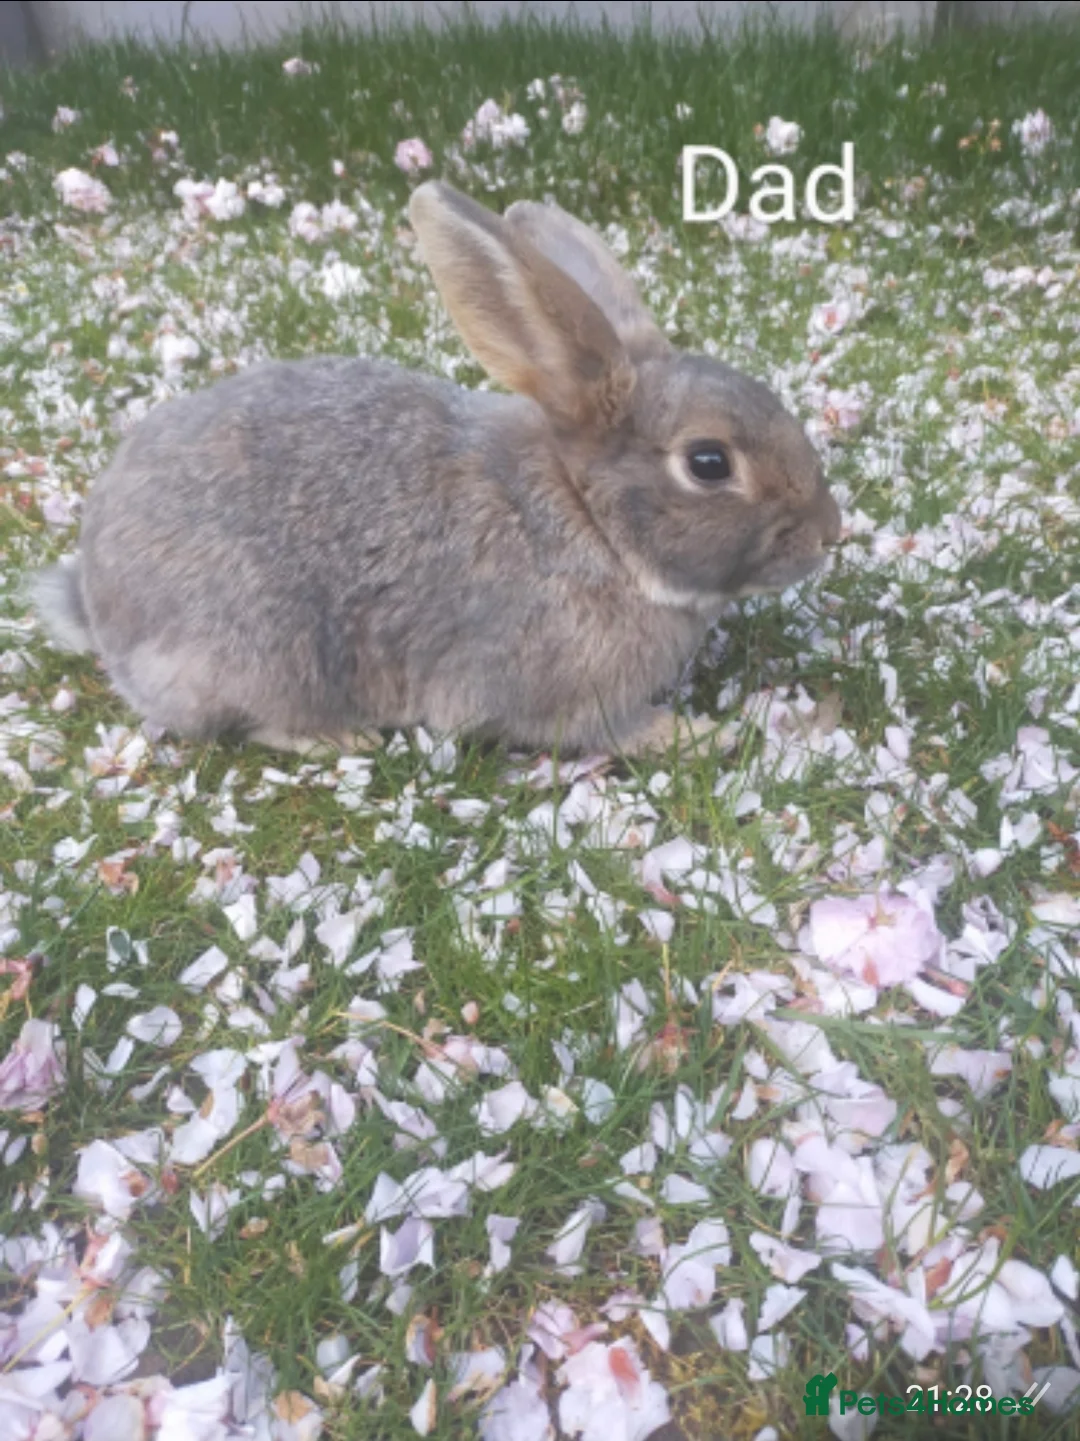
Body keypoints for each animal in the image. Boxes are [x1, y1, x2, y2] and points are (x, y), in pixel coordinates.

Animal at [28, 179, 840, 760]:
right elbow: (599, 731)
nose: (830, 534)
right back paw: (343, 736)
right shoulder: (546, 693)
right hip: (255, 654)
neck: (592, 523)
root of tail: (98, 603)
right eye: (708, 462)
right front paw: (697, 734)